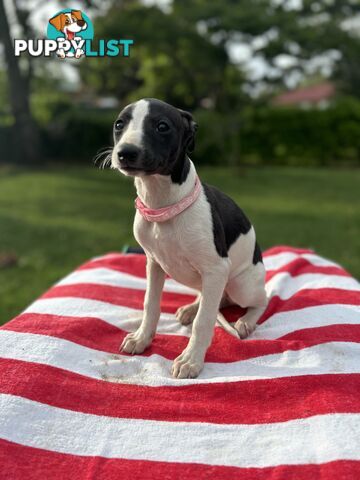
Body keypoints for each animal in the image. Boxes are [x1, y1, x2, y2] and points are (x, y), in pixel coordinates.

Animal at [111, 98, 268, 378]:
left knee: (260, 299)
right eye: (120, 124)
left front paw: (191, 360)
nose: (125, 152)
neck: (163, 206)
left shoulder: (216, 268)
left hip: (240, 284)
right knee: (214, 298)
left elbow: (204, 321)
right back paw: (191, 307)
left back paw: (246, 321)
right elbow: (150, 304)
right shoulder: (153, 263)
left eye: (162, 126)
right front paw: (142, 338)